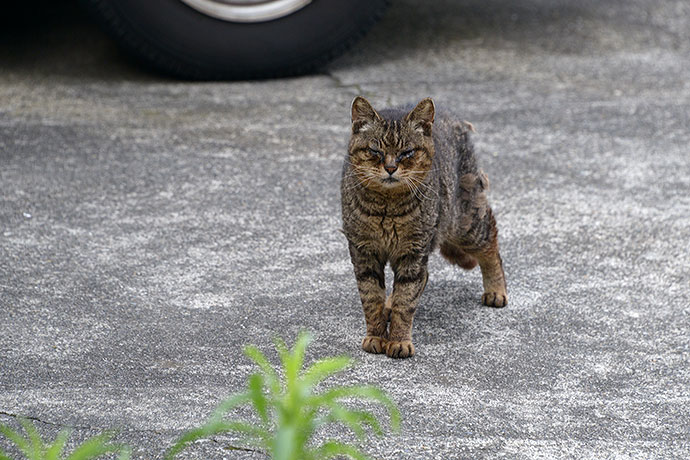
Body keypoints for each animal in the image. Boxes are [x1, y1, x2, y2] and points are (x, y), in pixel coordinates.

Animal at [340, 96, 506, 360]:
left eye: (407, 152)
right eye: (375, 150)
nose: (390, 168)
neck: (387, 209)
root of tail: (450, 114)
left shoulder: (413, 251)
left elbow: (406, 301)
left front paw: (398, 340)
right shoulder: (363, 252)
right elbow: (372, 298)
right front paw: (376, 336)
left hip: (465, 224)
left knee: (491, 240)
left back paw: (496, 289)